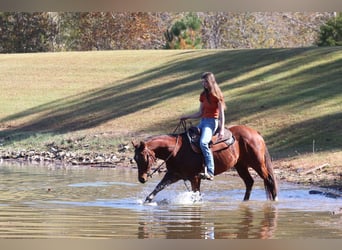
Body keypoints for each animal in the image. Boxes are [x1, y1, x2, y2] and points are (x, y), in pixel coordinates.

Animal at [132, 124, 278, 203]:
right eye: (135, 158)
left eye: (144, 158)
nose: (141, 179)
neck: (176, 150)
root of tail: (255, 133)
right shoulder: (173, 175)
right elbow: (157, 188)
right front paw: (147, 201)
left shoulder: (195, 177)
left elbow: (196, 196)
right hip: (240, 165)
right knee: (249, 182)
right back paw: (245, 201)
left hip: (257, 163)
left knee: (269, 179)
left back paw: (275, 200)